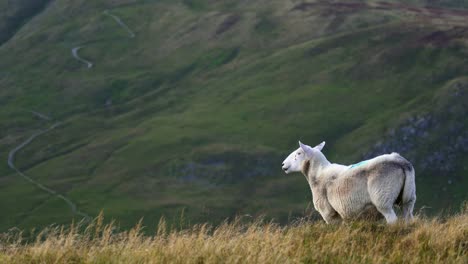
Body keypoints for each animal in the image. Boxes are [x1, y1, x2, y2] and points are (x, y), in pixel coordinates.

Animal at [282, 141, 416, 224]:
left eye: (299, 153)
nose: (283, 164)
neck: (318, 173)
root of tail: (401, 163)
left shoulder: (329, 214)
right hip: (408, 198)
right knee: (409, 217)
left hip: (383, 198)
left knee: (392, 219)